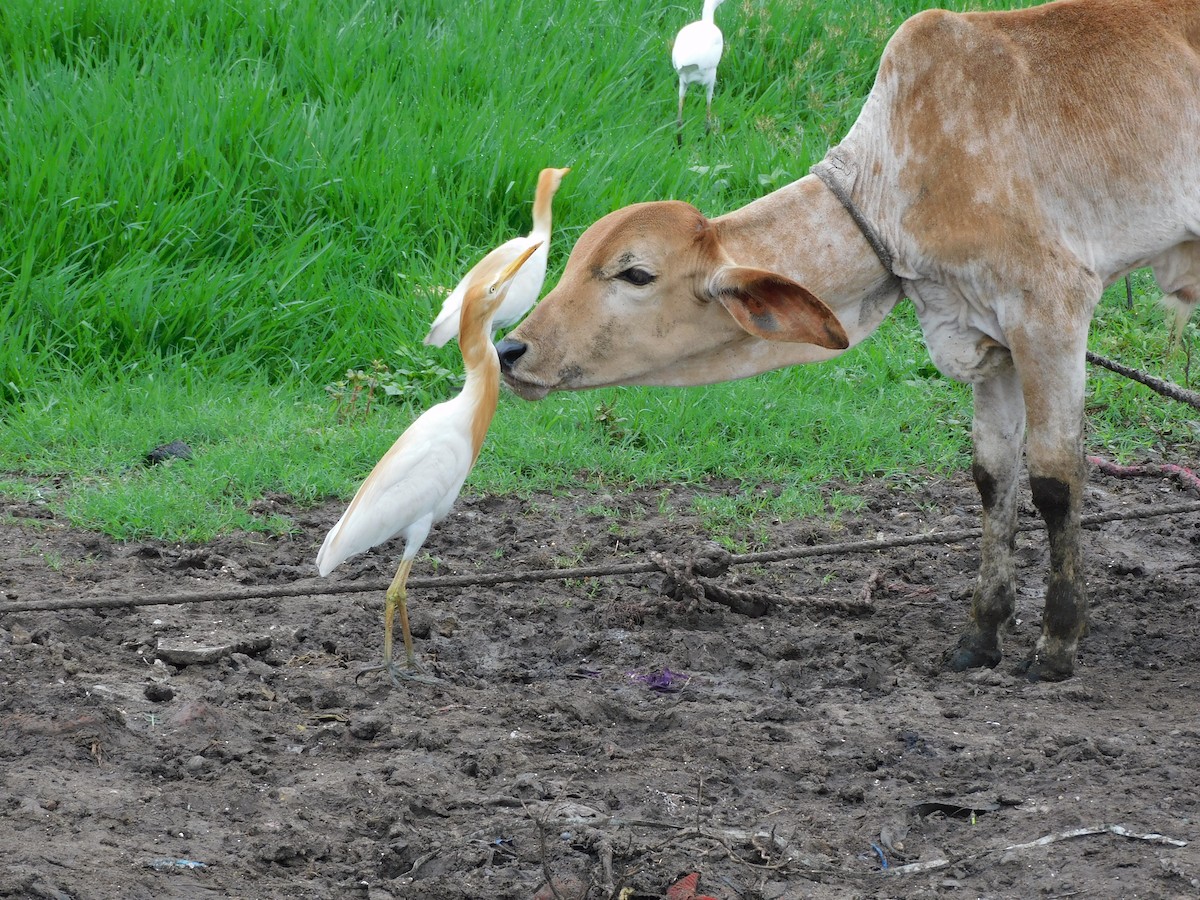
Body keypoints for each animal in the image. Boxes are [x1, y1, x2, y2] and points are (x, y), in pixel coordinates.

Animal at [499, 0, 1200, 681]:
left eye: (636, 273)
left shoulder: (1050, 311)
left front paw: (1057, 642)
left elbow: (1055, 481)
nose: (510, 351)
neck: (901, 184)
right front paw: (980, 636)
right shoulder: (988, 340)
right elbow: (993, 478)